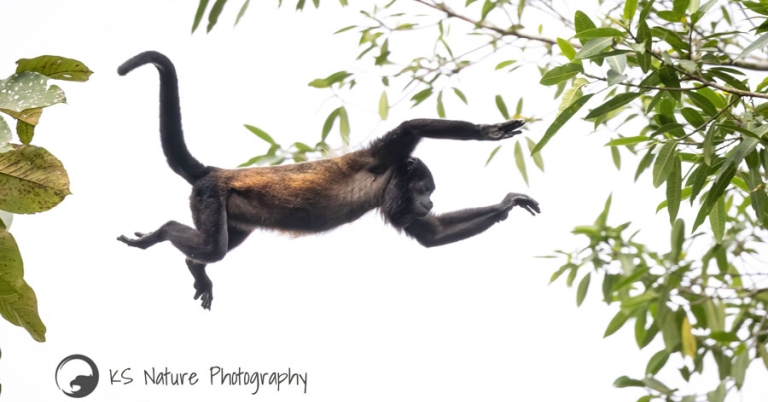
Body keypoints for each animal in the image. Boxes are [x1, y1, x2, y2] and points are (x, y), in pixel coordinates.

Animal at [117, 51, 540, 310]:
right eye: (426, 189)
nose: (431, 202)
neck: (389, 178)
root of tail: (212, 170)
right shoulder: (380, 158)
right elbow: (410, 127)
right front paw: (489, 131)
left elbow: (431, 234)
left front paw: (507, 203)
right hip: (209, 196)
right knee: (212, 245)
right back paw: (162, 234)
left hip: (230, 210)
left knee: (217, 244)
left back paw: (195, 267)